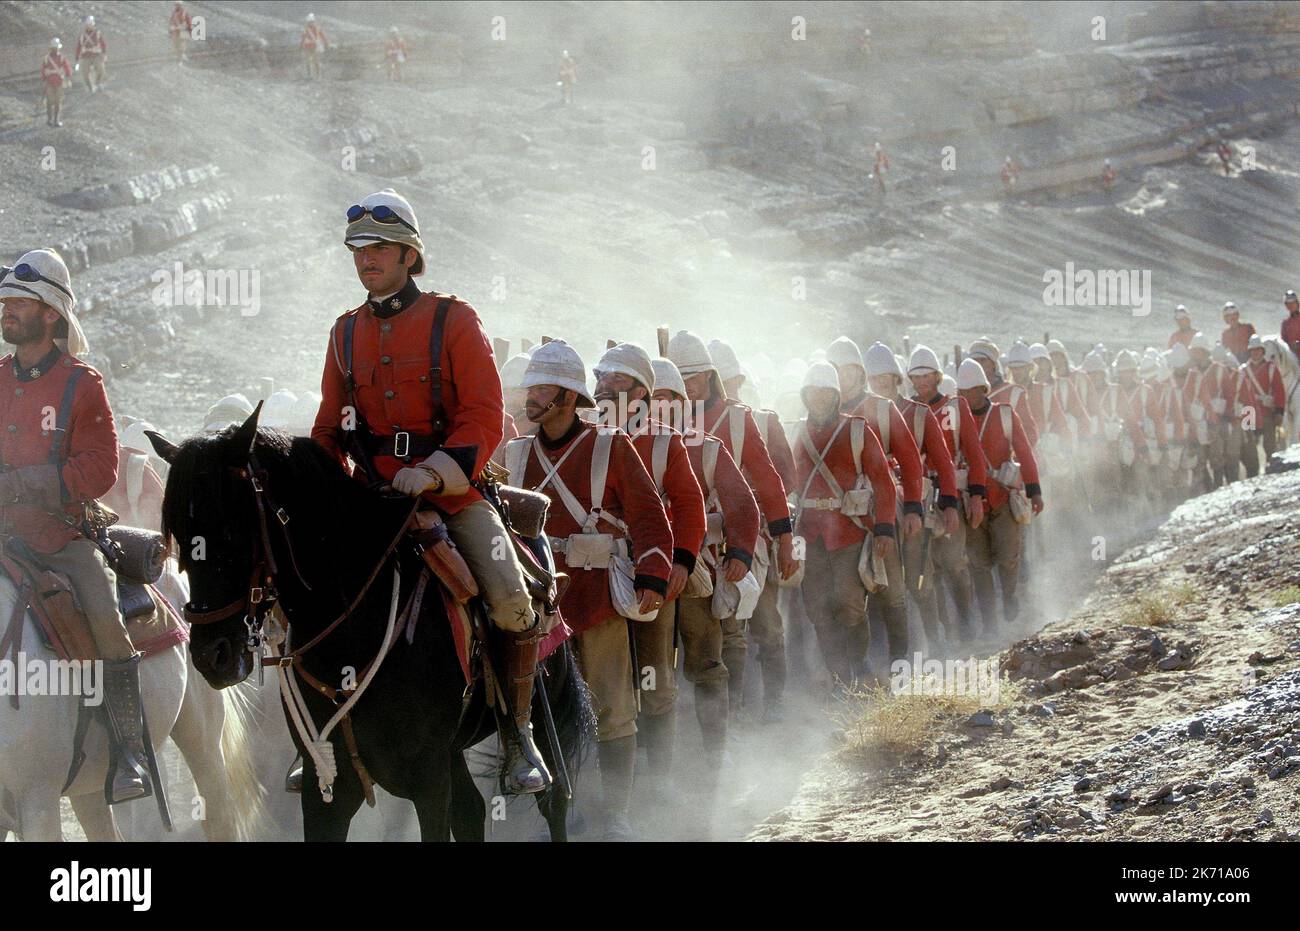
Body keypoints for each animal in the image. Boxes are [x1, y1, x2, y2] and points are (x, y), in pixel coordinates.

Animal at [146, 403, 590, 842]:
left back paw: (525, 762)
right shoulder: (328, 786)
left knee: (552, 801)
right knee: (471, 812)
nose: (211, 655)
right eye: (178, 536)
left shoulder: (428, 779)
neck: (353, 627)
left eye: (231, 530)